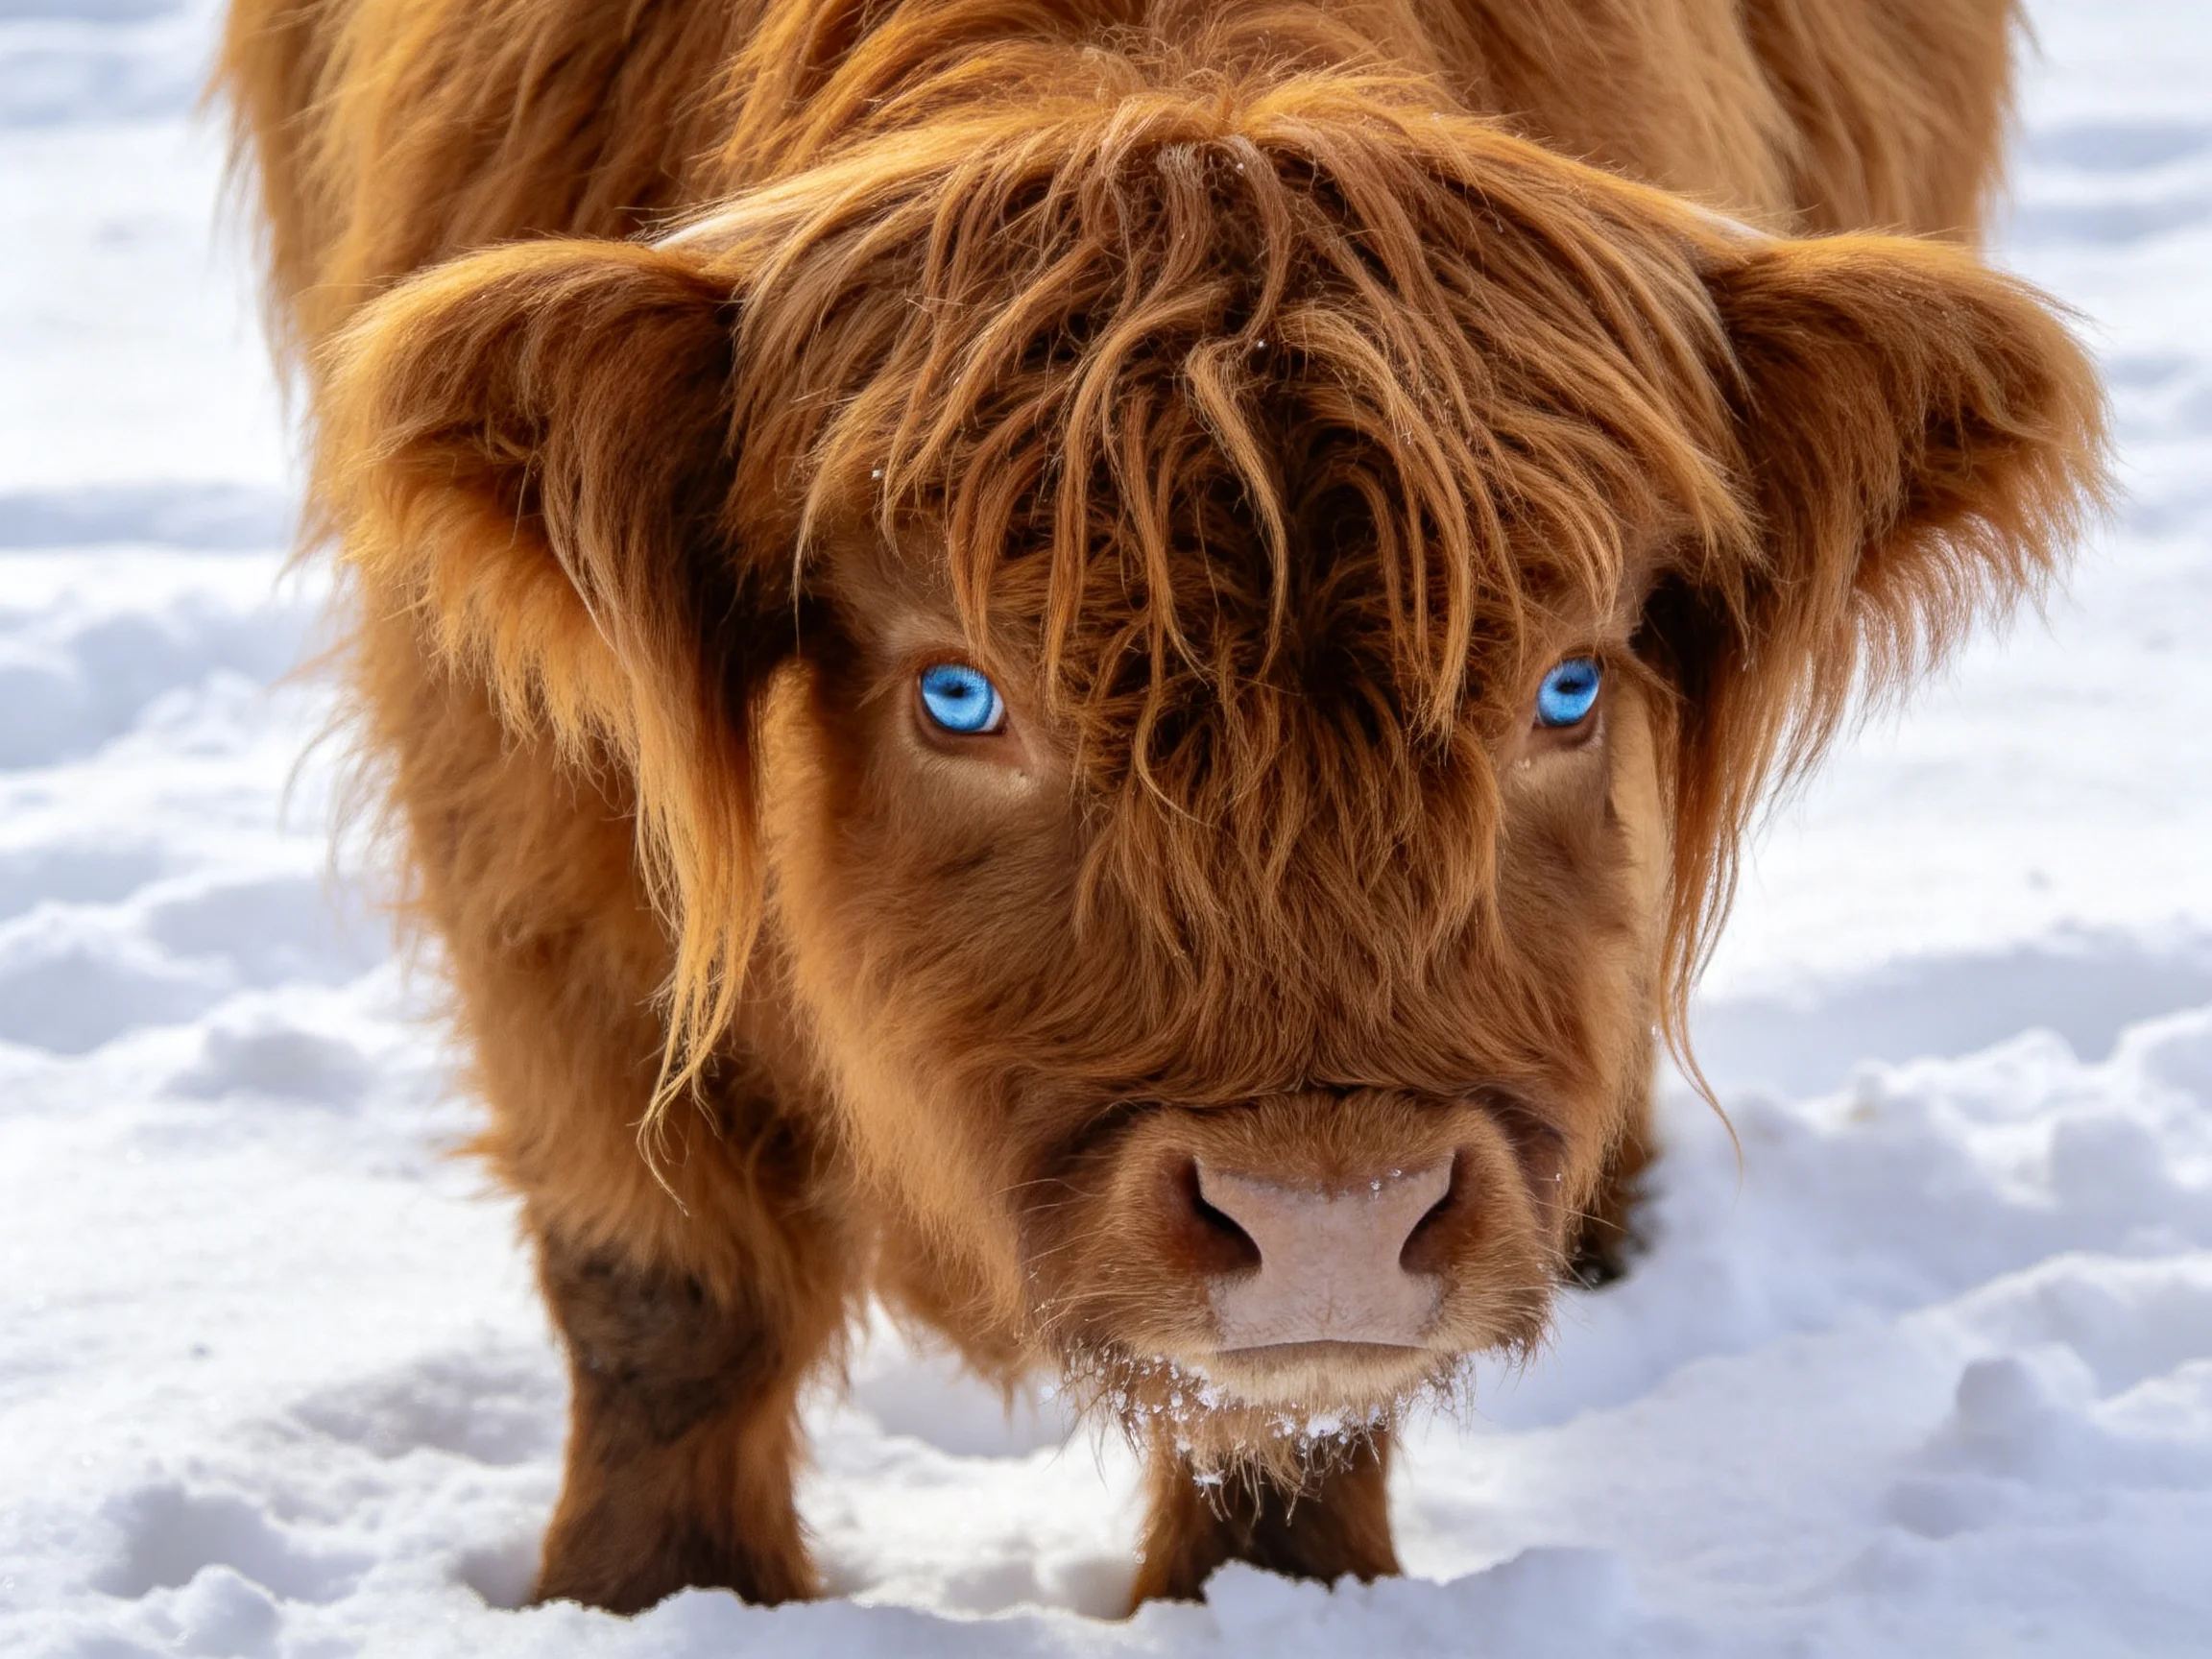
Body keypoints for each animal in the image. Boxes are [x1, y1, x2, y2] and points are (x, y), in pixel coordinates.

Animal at [217, 0, 2105, 1615]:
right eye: (959, 692)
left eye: (1569, 685)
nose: (1329, 1220)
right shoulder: (530, 832)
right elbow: (663, 1285)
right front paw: (654, 1596)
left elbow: (1289, 1421)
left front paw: (1281, 1601)